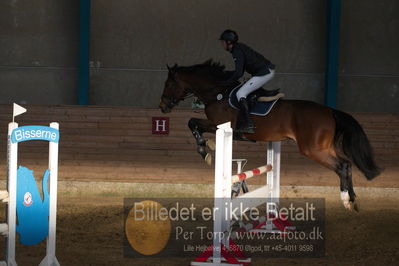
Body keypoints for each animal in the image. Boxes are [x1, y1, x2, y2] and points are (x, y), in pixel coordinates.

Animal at [159, 59, 382, 211]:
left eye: (169, 84)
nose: (162, 107)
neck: (217, 93)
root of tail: (330, 111)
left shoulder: (220, 126)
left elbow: (193, 123)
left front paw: (204, 149)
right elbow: (193, 122)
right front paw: (206, 147)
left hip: (313, 149)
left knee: (342, 166)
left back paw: (345, 199)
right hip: (324, 147)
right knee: (348, 165)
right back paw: (354, 199)